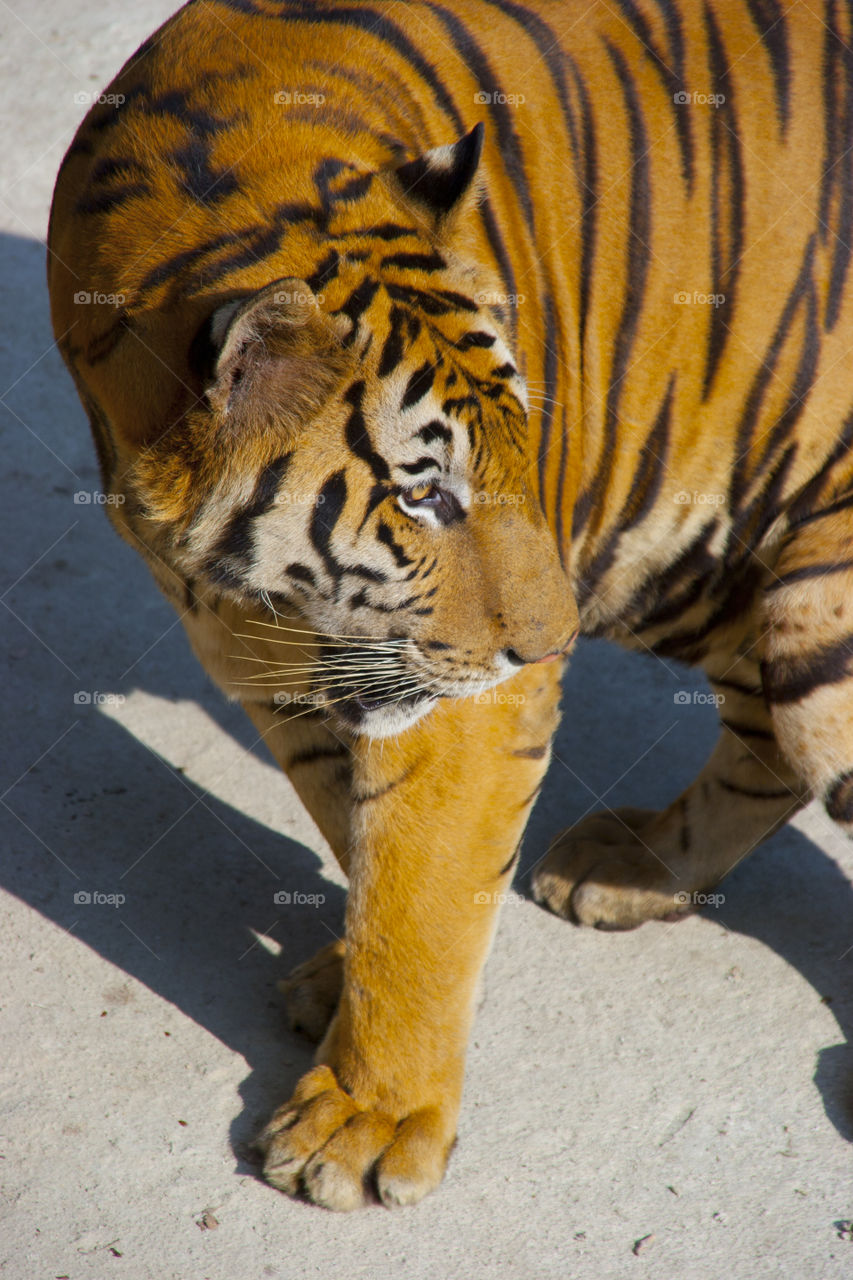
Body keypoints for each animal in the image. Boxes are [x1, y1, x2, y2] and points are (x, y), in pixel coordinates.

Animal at [48, 0, 850, 1208]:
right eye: (424, 495)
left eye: (524, 445)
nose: (555, 639)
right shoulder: (265, 658)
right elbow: (361, 838)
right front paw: (341, 984)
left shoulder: (456, 699)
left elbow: (420, 890)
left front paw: (367, 1119)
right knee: (761, 739)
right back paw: (630, 867)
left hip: (811, 604)